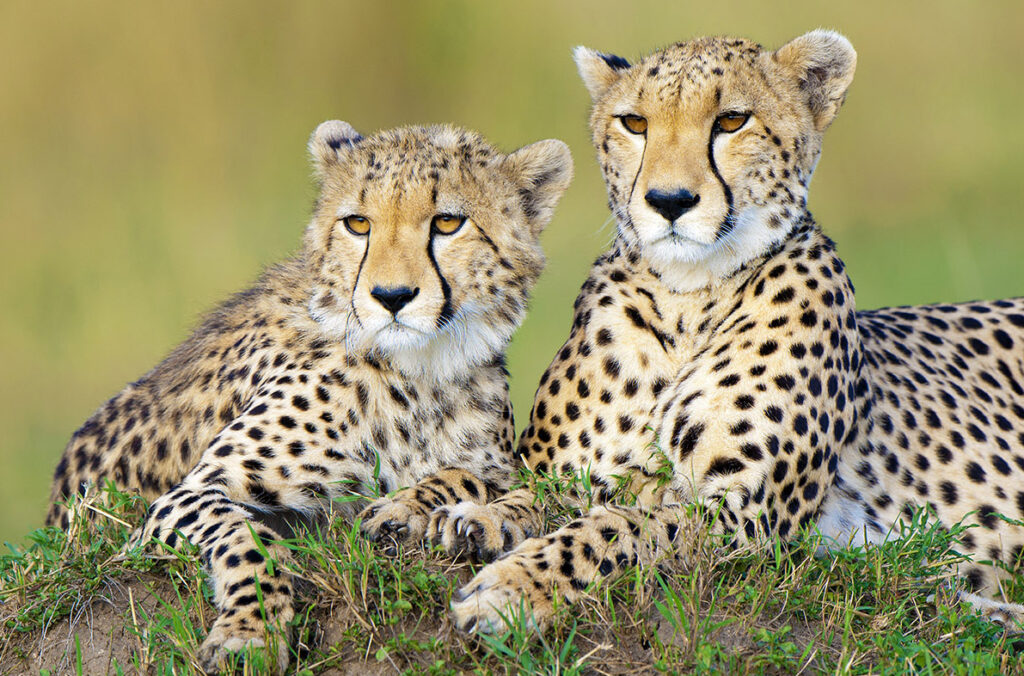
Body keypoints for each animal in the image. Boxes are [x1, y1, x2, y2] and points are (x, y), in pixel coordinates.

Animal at [45, 119, 573, 671]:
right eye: (358, 224)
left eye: (448, 222)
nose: (391, 297)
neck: (418, 373)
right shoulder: (185, 496)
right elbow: (245, 539)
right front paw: (250, 635)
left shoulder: (509, 467)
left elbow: (468, 477)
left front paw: (404, 509)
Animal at [435, 30, 1024, 633]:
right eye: (634, 123)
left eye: (732, 120)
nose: (669, 201)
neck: (686, 300)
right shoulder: (566, 468)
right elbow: (532, 493)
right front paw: (474, 518)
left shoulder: (744, 515)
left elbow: (620, 527)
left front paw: (512, 585)